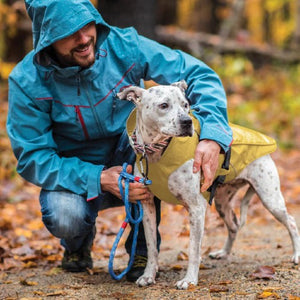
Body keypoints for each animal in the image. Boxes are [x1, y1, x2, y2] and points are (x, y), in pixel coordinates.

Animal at [116, 81, 300, 290]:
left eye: (186, 105)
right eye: (163, 105)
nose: (187, 121)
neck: (156, 151)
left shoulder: (196, 208)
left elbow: (193, 249)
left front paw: (189, 280)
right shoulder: (147, 207)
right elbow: (151, 246)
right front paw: (148, 275)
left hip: (270, 198)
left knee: (291, 221)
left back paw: (296, 255)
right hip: (222, 202)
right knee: (233, 226)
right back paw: (223, 253)